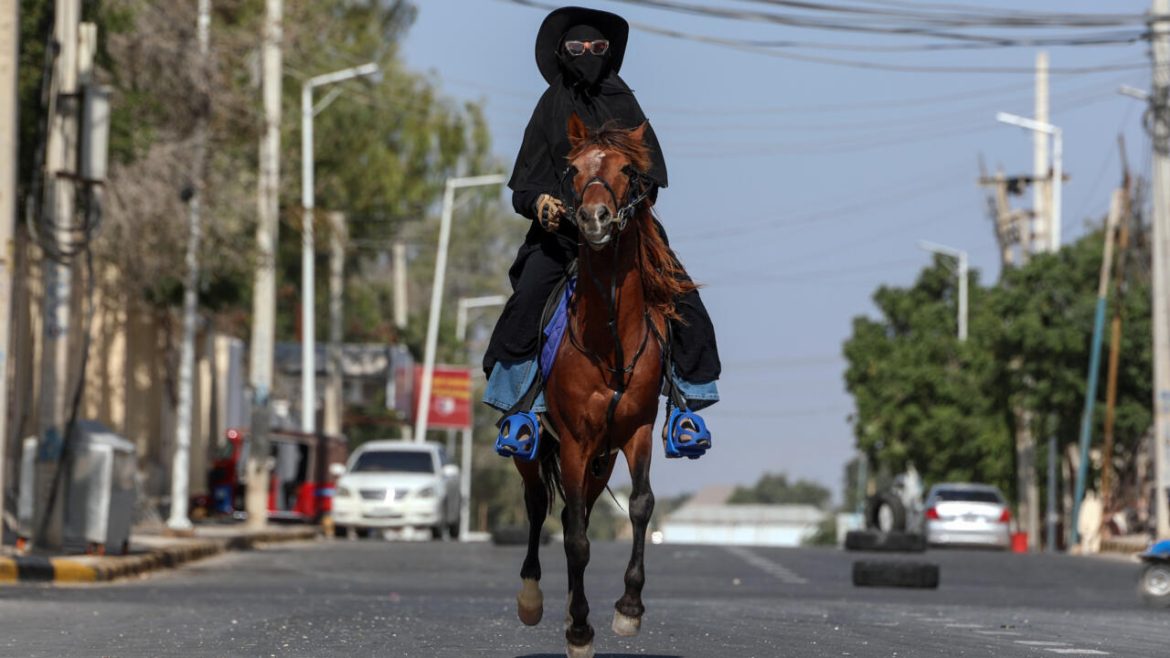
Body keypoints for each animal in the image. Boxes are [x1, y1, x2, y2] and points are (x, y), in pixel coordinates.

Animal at [507, 115, 687, 650]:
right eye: (572, 169)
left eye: (628, 168)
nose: (594, 219)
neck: (610, 343)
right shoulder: (573, 441)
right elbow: (576, 536)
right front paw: (581, 630)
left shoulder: (635, 431)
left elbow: (641, 506)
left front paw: (628, 608)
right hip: (537, 449)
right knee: (540, 504)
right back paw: (535, 599)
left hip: (602, 461)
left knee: (577, 509)